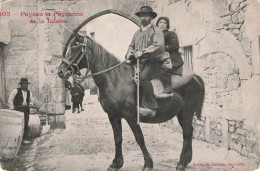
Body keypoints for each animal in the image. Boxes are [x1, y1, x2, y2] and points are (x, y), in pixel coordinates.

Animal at [58, 35, 204, 171]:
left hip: (187, 111)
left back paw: (181, 163)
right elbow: (117, 138)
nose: (61, 71)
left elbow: (139, 138)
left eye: (76, 49)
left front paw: (148, 164)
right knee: (189, 131)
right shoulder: (113, 115)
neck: (115, 81)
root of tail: (195, 77)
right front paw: (116, 163)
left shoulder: (131, 116)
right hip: (181, 114)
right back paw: (185, 160)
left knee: (187, 132)